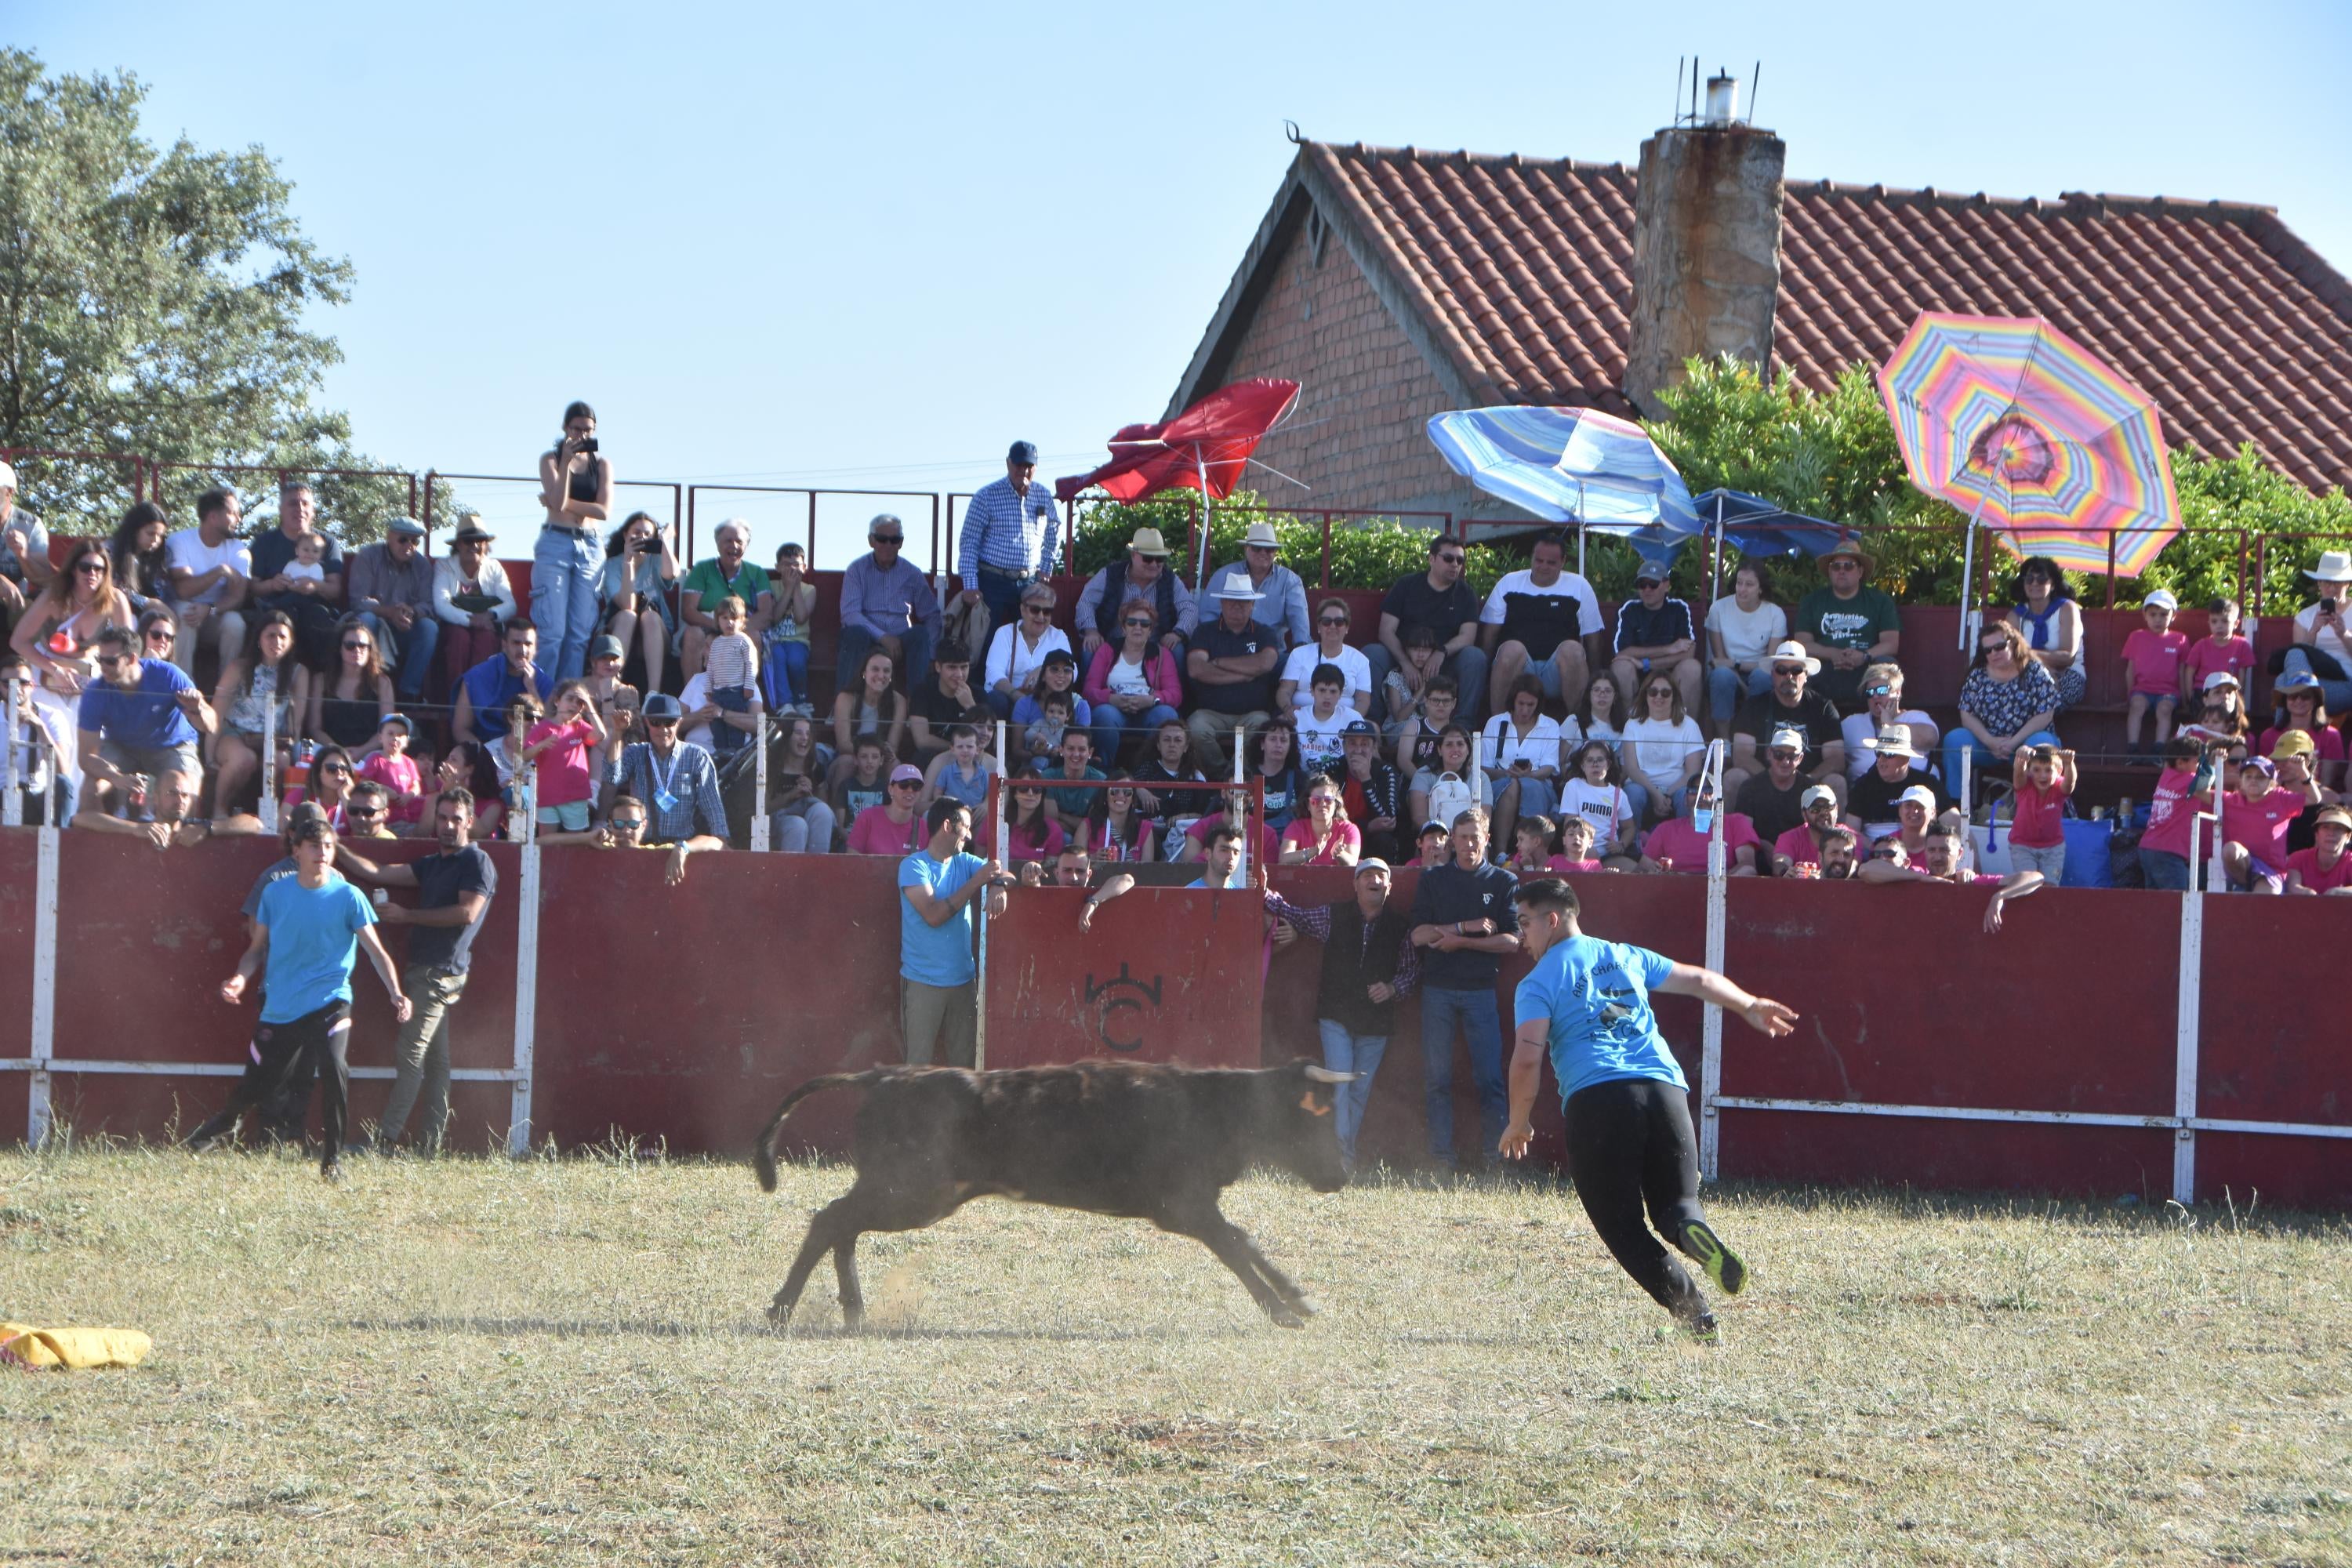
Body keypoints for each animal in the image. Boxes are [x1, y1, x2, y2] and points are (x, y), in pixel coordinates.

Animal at [753, 1062, 1364, 1335]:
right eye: (1317, 1118)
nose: (1340, 1175)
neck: (1214, 1105)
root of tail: (884, 1076)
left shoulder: (1194, 1208)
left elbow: (1242, 1242)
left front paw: (1296, 1300)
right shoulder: (1186, 1207)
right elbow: (1237, 1243)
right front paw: (1286, 1307)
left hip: (906, 1192)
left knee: (842, 1225)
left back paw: (852, 1309)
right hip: (913, 1194)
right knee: (831, 1220)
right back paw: (783, 1309)